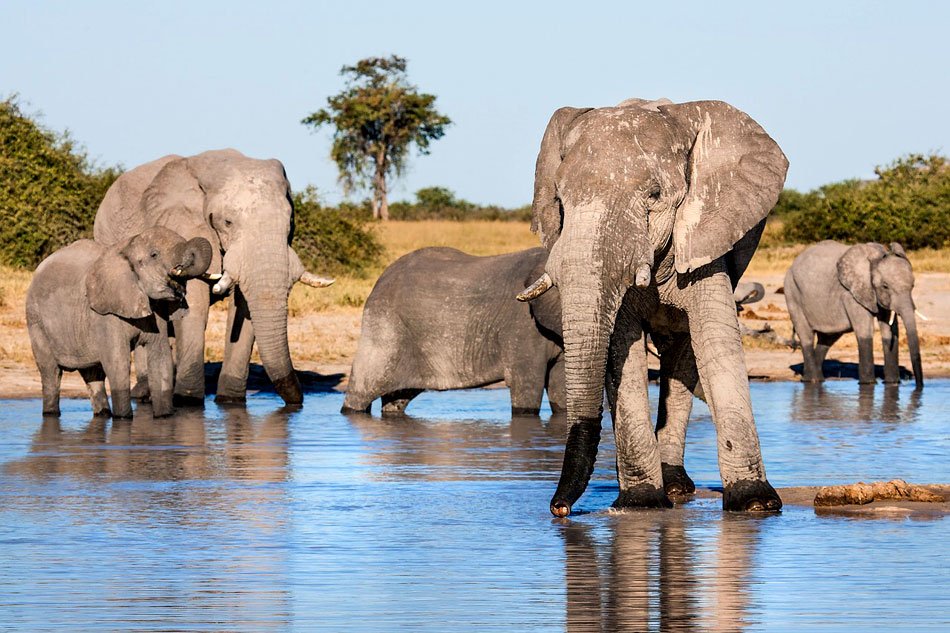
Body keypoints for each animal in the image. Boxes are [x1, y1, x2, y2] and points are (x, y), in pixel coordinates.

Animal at [27, 228, 213, 420]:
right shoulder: (105, 314)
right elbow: (118, 361)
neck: (126, 249)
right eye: (154, 255)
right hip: (36, 321)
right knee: (51, 372)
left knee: (93, 374)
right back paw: (51, 413)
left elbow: (161, 358)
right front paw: (123, 419)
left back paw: (103, 414)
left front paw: (164, 417)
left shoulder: (156, 310)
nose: (180, 268)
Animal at [93, 149, 330, 404]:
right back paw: (143, 394)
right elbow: (195, 304)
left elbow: (244, 307)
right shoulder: (183, 225)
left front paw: (229, 401)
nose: (298, 403)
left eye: (290, 222)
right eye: (227, 222)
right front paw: (188, 402)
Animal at [342, 246, 564, 414]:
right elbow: (527, 387)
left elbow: (559, 389)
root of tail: (380, 279)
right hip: (384, 329)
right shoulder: (521, 327)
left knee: (397, 398)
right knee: (361, 391)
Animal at [520, 97, 788, 512]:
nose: (559, 508)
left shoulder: (704, 234)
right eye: (560, 202)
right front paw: (641, 503)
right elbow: (621, 351)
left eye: (655, 196)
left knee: (682, 356)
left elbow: (716, 342)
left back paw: (677, 486)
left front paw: (755, 504)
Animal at [784, 239, 924, 388]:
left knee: (827, 339)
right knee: (806, 336)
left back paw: (812, 379)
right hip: (792, 292)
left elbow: (890, 332)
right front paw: (868, 384)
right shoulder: (852, 295)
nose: (919, 385)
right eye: (885, 286)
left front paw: (892, 383)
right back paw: (813, 381)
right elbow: (865, 332)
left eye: (912, 286)